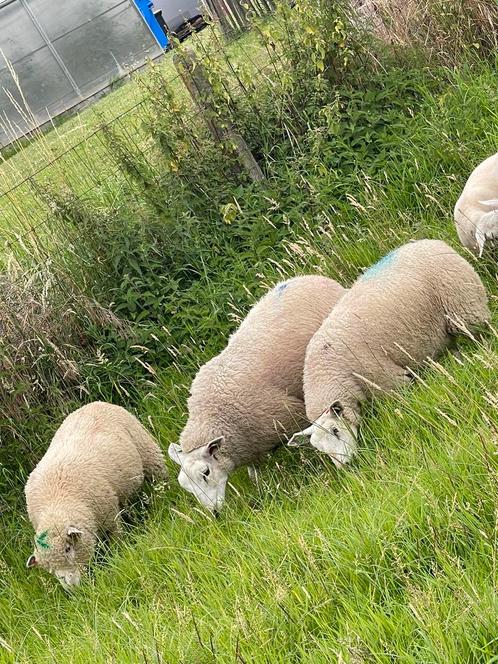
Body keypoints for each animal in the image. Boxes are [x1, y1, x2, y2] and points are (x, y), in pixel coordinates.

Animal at [25, 400, 166, 588]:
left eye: (68, 549)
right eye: (48, 567)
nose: (72, 587)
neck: (56, 502)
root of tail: (95, 403)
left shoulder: (109, 517)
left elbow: (116, 538)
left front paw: (118, 553)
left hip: (147, 450)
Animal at [167, 272, 346, 510]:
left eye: (206, 472)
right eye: (185, 486)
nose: (214, 513)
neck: (215, 414)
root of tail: (309, 277)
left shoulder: (291, 415)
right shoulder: (250, 445)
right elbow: (254, 474)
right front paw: (260, 488)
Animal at [290, 240, 488, 466]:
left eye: (335, 430)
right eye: (320, 449)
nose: (346, 466)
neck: (327, 369)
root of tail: (430, 241)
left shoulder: (388, 379)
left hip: (466, 308)